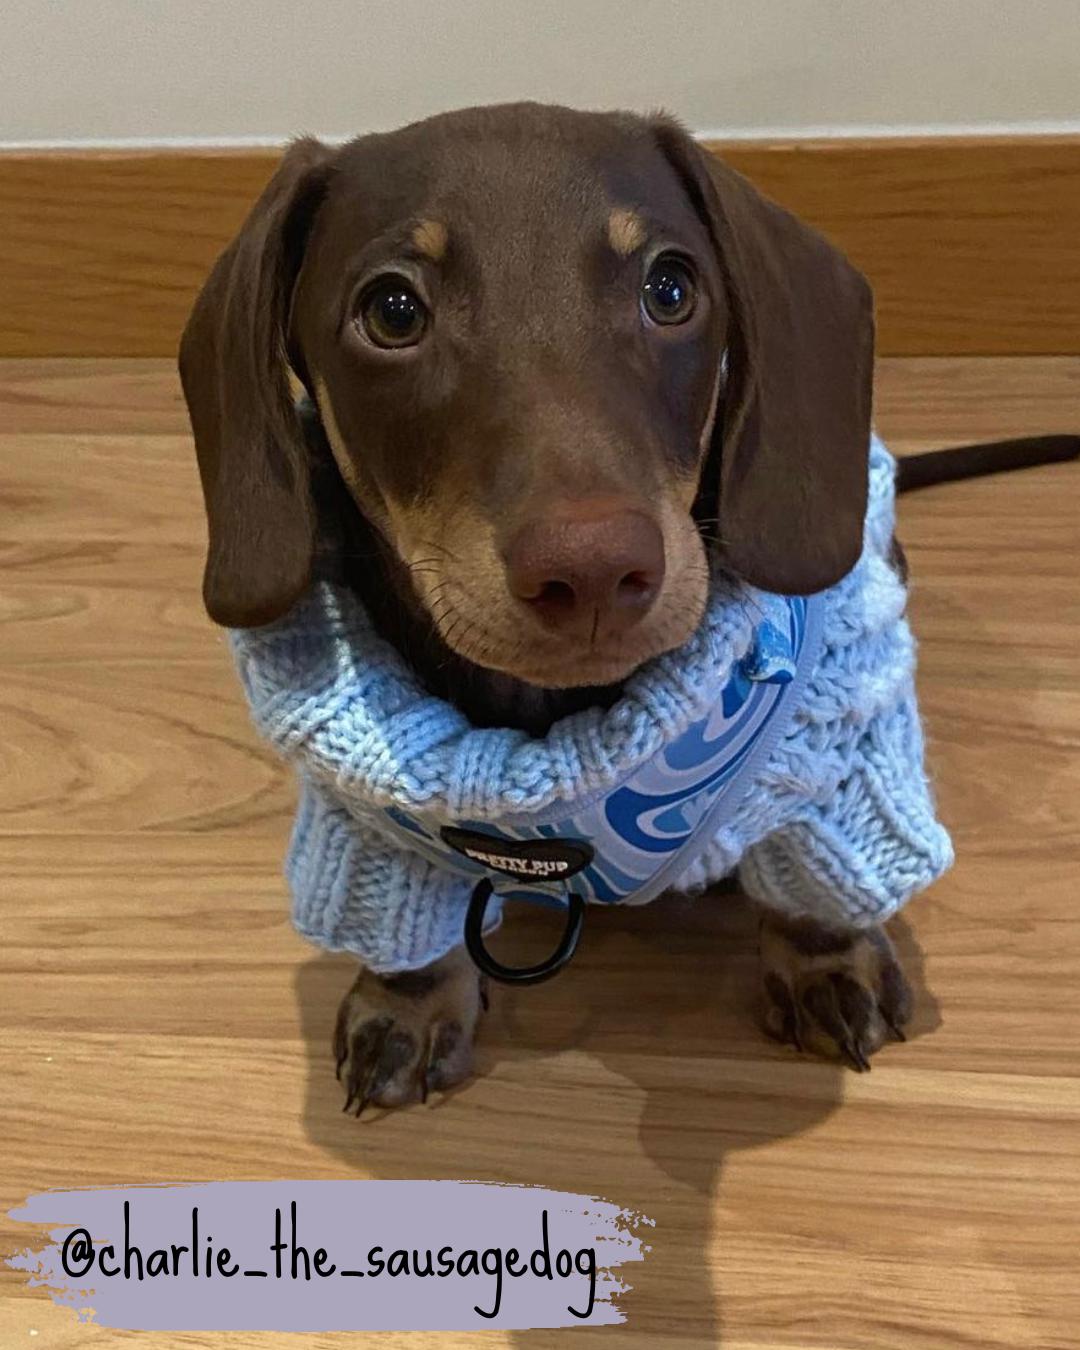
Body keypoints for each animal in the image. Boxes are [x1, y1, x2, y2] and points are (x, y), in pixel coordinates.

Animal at [176, 105, 1069, 1112]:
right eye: (392, 310)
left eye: (670, 287)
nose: (596, 573)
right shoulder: (362, 823)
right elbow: (404, 927)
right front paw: (405, 1004)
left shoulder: (836, 766)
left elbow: (816, 880)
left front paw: (825, 961)